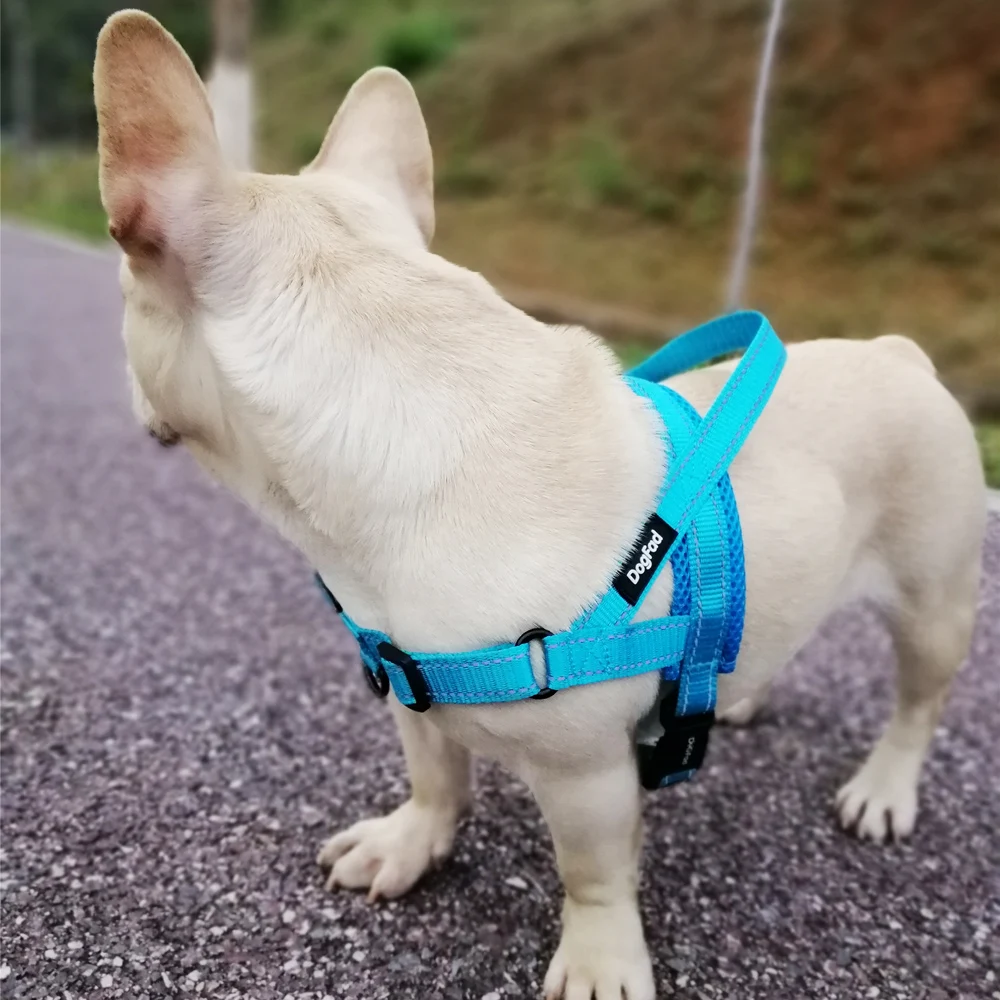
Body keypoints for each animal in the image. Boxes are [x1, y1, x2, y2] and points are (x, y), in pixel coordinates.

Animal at [95, 11, 992, 996]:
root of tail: (901, 354)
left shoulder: (587, 774)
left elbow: (590, 868)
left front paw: (600, 956)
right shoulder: (411, 685)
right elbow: (436, 775)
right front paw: (412, 842)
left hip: (933, 594)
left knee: (918, 701)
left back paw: (884, 787)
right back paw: (740, 695)